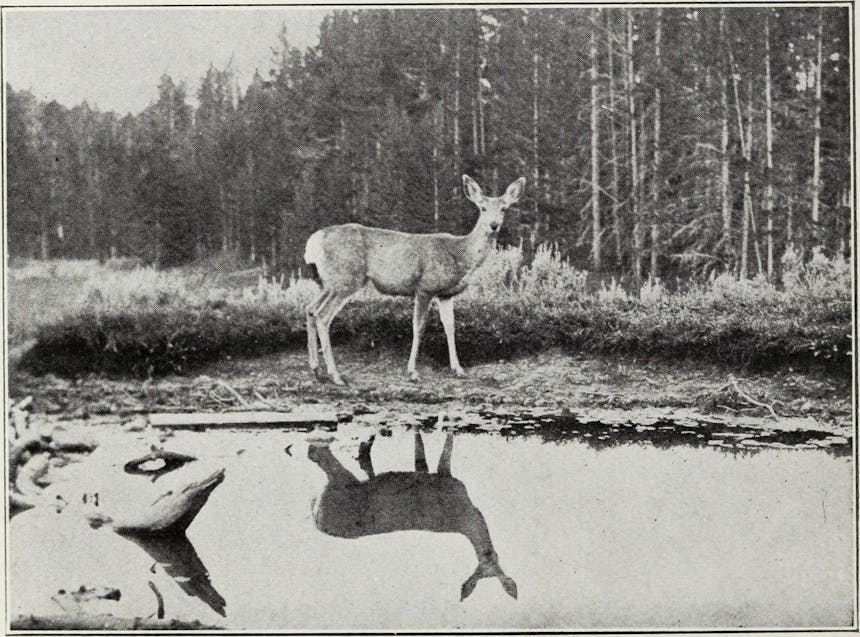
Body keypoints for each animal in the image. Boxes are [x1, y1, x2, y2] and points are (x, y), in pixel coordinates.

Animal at [306, 173, 528, 382]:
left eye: (504, 209)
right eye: (482, 208)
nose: (493, 225)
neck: (460, 255)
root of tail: (314, 242)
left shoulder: (446, 294)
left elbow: (450, 327)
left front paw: (458, 369)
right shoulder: (424, 287)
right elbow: (418, 327)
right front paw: (412, 371)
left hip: (329, 283)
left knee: (310, 309)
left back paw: (316, 369)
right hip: (345, 279)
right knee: (323, 315)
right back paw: (335, 375)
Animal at [310, 430, 516, 600]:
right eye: (485, 566)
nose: (488, 557)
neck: (468, 517)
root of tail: (317, 521)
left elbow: (421, 453)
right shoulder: (446, 477)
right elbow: (444, 445)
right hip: (343, 482)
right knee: (318, 454)